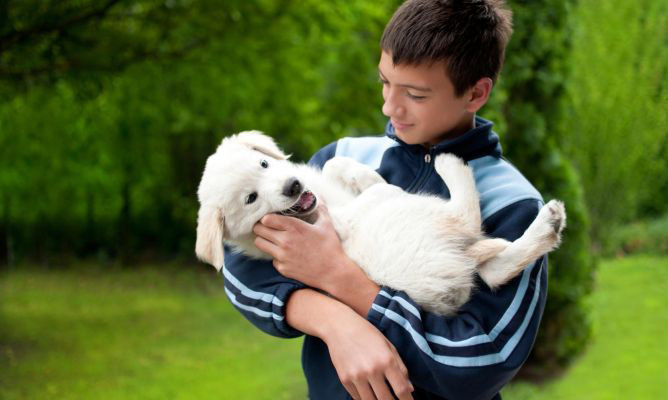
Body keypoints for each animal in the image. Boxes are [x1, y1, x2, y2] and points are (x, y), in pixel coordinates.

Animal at [196, 131, 568, 316]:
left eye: (263, 164)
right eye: (251, 198)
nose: (293, 187)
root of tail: (454, 269)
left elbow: (334, 164)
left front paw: (363, 174)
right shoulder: (344, 219)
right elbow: (377, 194)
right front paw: (377, 182)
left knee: (493, 272)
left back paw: (548, 225)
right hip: (424, 215)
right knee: (466, 218)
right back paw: (450, 163)